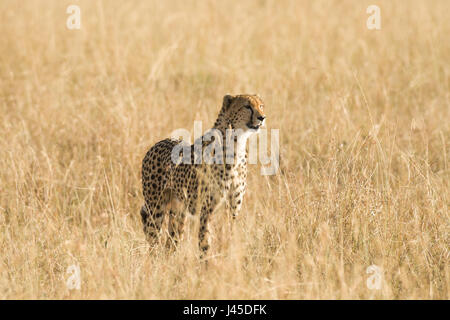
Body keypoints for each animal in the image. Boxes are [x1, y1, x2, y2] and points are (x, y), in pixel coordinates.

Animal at [141, 94, 266, 258]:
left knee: (172, 241)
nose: (262, 117)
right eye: (247, 106)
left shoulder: (232, 209)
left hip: (179, 212)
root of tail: (159, 142)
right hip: (155, 209)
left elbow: (229, 236)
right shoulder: (207, 210)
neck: (236, 144)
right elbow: (205, 242)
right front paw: (207, 262)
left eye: (261, 106)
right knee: (153, 240)